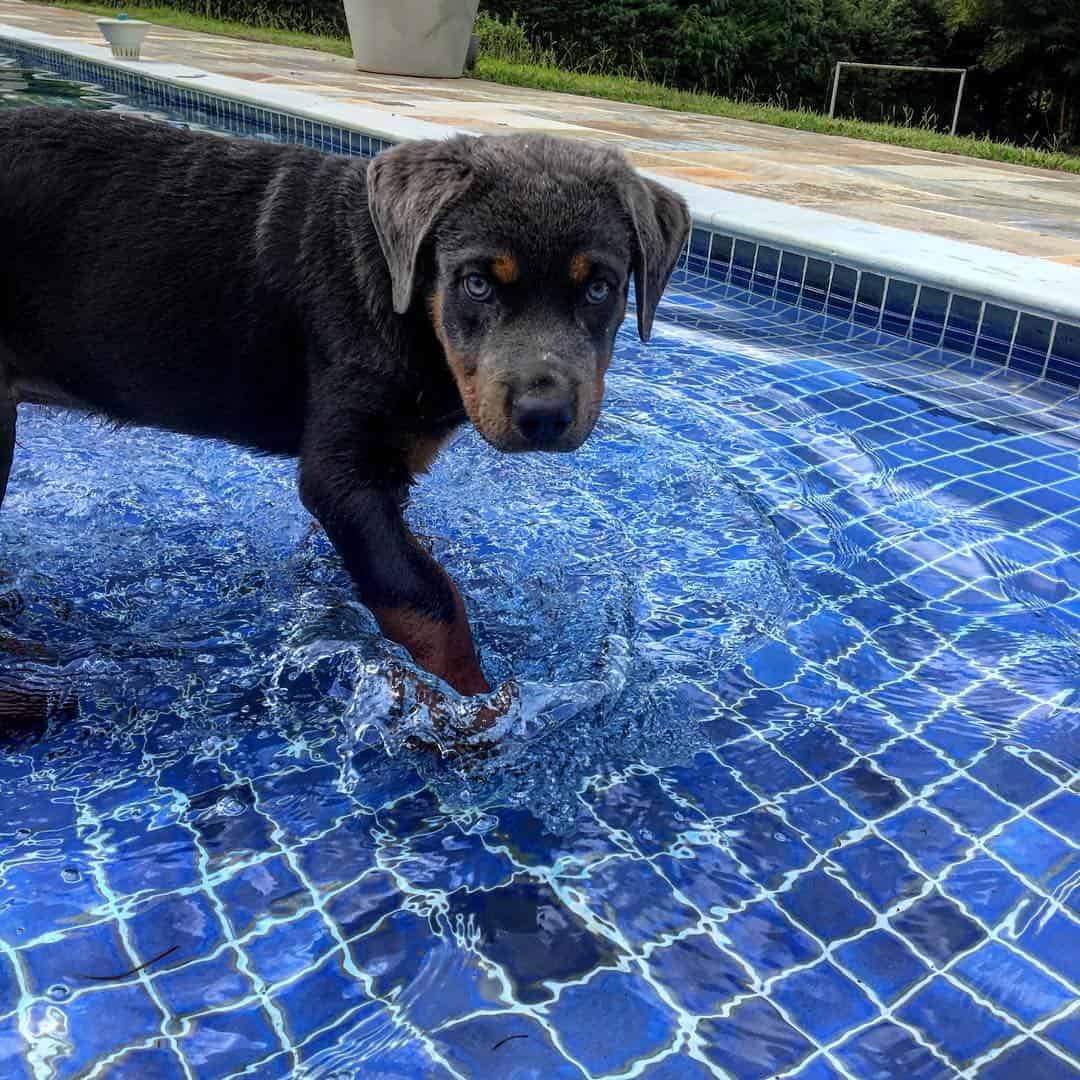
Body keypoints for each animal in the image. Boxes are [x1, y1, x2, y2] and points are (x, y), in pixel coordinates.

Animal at [0, 109, 686, 695]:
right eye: (476, 284)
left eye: (599, 288)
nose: (543, 416)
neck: (410, 305)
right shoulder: (343, 474)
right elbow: (428, 600)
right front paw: (473, 711)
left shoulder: (387, 471)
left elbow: (403, 564)